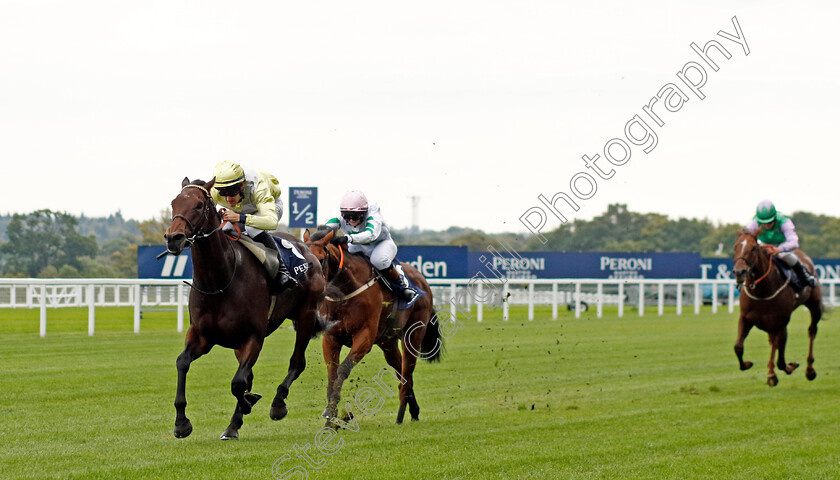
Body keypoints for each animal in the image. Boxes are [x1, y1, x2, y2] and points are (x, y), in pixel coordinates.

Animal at [163, 179, 324, 438]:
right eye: (173, 203)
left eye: (199, 205)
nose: (173, 238)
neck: (220, 281)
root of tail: (308, 249)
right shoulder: (202, 336)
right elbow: (182, 363)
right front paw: (181, 422)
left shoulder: (253, 337)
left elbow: (238, 383)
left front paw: (249, 404)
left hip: (306, 315)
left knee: (297, 362)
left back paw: (277, 404)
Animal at [306, 227, 442, 426]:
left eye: (321, 259)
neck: (345, 291)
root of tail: (423, 281)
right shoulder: (331, 338)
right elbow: (332, 374)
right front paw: (330, 414)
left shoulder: (365, 336)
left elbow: (343, 369)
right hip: (388, 343)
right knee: (403, 375)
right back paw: (414, 411)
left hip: (413, 336)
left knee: (407, 373)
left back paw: (400, 416)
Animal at [732, 231, 824, 388]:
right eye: (735, 247)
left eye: (753, 248)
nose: (739, 272)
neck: (762, 291)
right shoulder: (745, 318)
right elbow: (738, 346)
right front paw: (747, 364)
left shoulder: (780, 322)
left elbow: (778, 355)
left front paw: (781, 370)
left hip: (814, 304)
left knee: (812, 331)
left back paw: (810, 370)